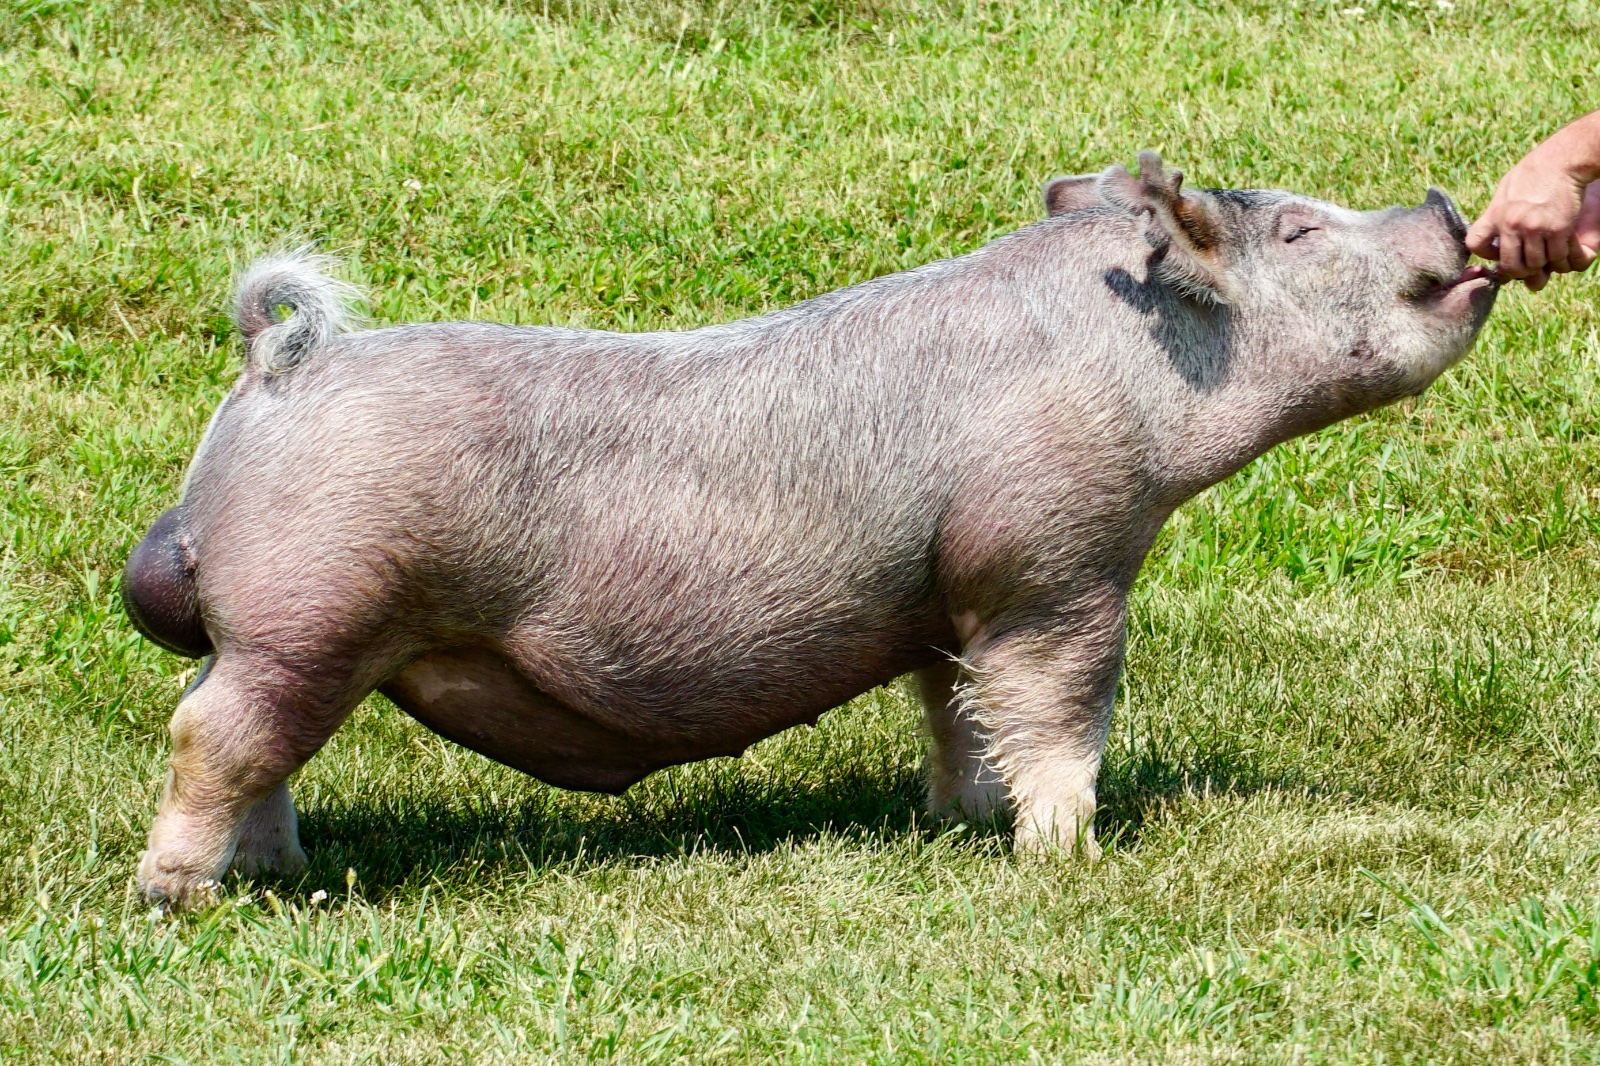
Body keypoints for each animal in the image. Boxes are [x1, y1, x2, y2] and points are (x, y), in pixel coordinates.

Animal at [123, 152, 1497, 905]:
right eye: (1300, 228)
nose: (1448, 205)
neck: (1127, 355)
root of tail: (277, 367)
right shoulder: (1055, 560)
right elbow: (1062, 709)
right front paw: (1066, 856)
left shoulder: (950, 595)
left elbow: (958, 712)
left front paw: (964, 824)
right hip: (317, 609)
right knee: (210, 737)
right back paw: (185, 899)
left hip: (287, 634)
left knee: (245, 737)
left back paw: (278, 876)